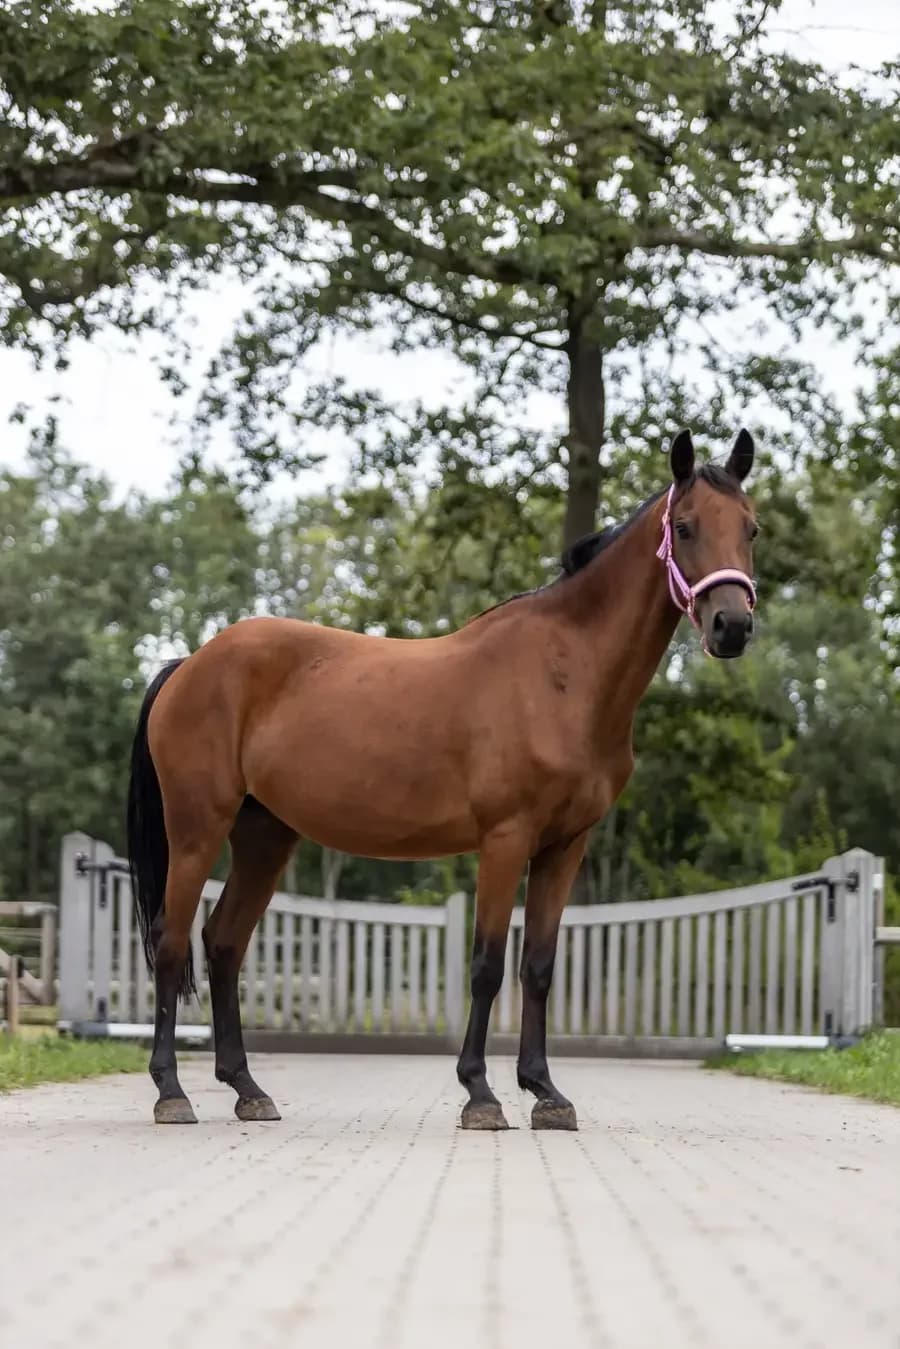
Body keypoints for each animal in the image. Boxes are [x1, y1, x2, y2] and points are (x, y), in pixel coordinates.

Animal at [126, 428, 758, 1128]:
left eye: (751, 529)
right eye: (685, 525)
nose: (733, 625)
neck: (563, 675)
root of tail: (190, 664)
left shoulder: (566, 846)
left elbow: (538, 966)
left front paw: (546, 1093)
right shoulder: (505, 839)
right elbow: (487, 964)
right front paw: (481, 1095)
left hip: (265, 838)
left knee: (223, 944)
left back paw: (247, 1089)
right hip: (196, 833)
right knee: (172, 943)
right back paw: (171, 1092)